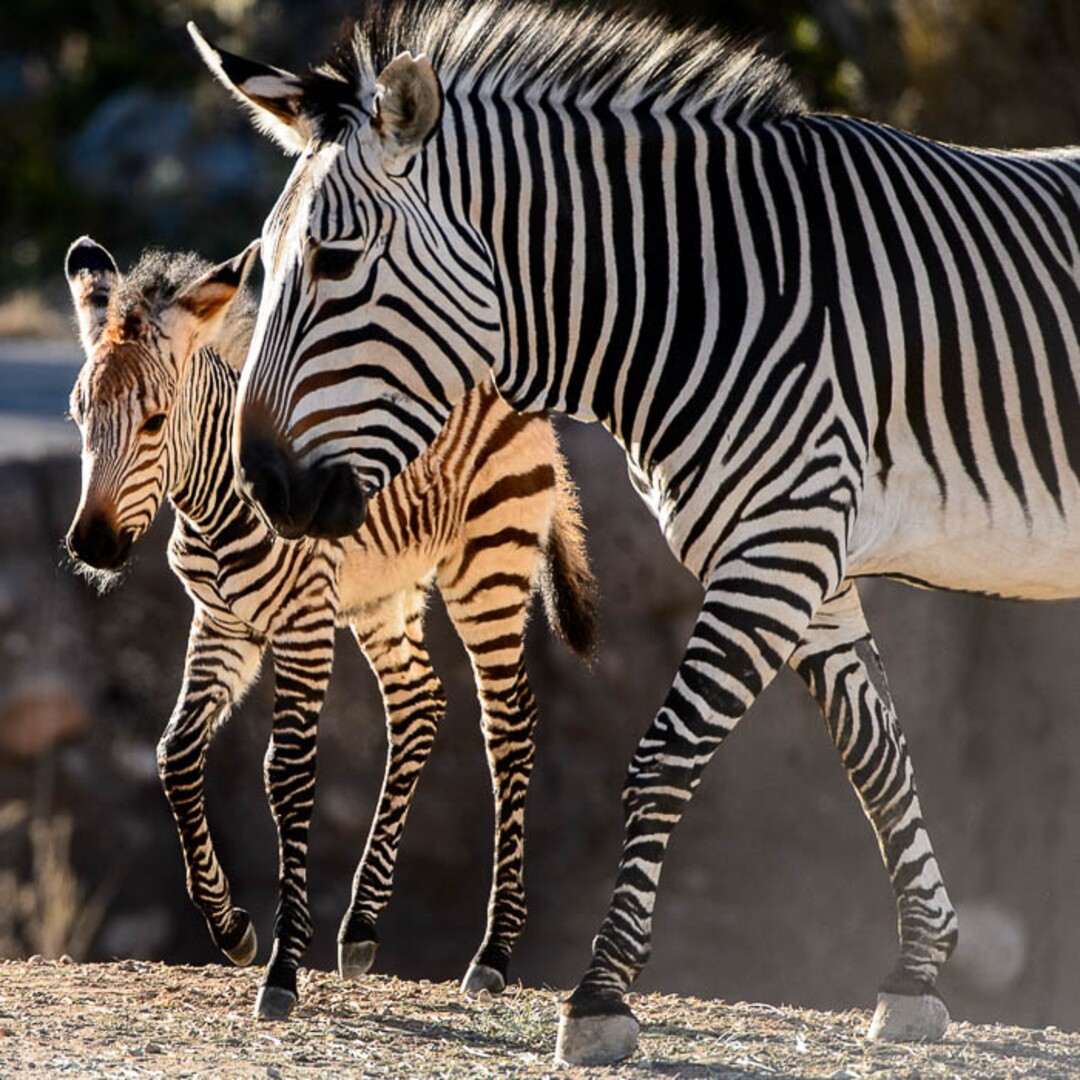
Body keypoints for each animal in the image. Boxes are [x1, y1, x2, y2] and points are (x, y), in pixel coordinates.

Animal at [63, 234, 597, 1022]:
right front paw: (231, 927)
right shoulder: (222, 626)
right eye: (78, 417)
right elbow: (173, 754)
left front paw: (283, 968)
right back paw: (365, 925)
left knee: (510, 723)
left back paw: (494, 952)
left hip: (488, 566)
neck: (216, 503)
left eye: (155, 421)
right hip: (384, 594)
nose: (92, 547)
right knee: (419, 703)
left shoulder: (303, 625)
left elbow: (286, 774)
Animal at [189, 0, 1080, 1064]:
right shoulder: (812, 555)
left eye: (334, 262)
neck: (706, 296)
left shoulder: (777, 547)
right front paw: (915, 973)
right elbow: (875, 752)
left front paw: (602, 994)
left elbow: (664, 755)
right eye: (263, 264)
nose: (261, 487)